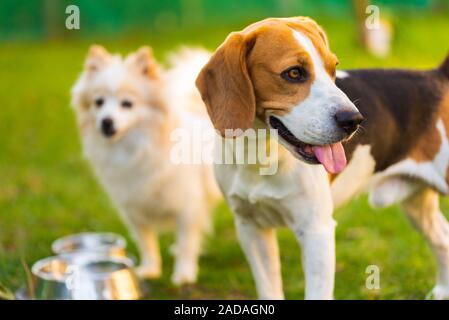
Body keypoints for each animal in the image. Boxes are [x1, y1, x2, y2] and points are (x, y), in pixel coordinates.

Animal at [70, 45, 220, 284]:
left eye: (127, 104)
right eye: (98, 102)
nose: (106, 121)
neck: (134, 150)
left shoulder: (187, 208)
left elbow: (187, 243)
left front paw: (184, 274)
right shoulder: (134, 211)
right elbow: (147, 244)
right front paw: (150, 270)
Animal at [195, 16, 360, 298]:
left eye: (333, 69)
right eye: (293, 73)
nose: (354, 120)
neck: (260, 158)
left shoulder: (316, 232)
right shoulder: (251, 228)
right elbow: (269, 287)